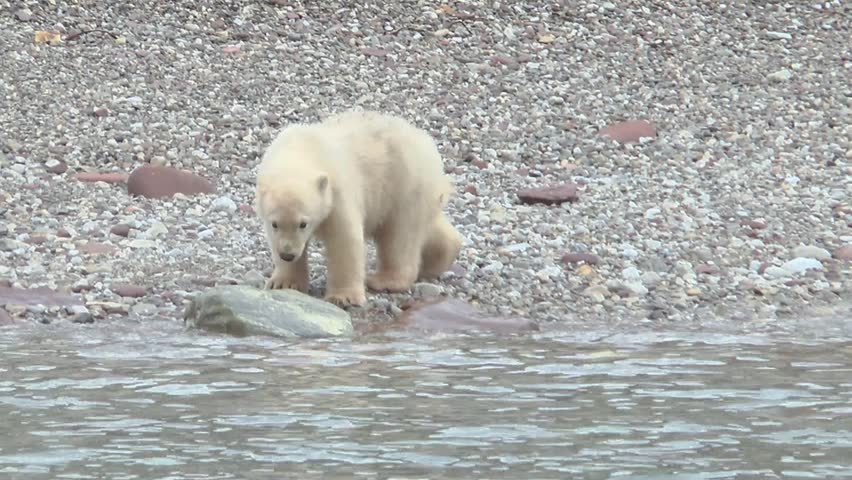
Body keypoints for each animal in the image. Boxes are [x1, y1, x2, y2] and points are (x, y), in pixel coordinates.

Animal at [254, 110, 463, 307]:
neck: (301, 149)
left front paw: (343, 297)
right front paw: (285, 283)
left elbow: (344, 240)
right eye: (274, 224)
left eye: (303, 223)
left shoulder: (338, 191)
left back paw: (384, 280)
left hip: (404, 185)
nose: (288, 254)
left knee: (399, 237)